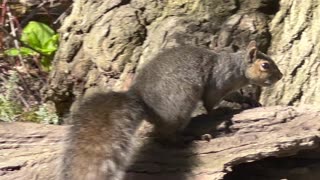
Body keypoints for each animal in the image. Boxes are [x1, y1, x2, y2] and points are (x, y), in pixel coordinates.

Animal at [59, 41, 282, 180]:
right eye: (265, 65)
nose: (280, 76)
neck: (237, 68)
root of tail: (141, 100)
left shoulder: (228, 87)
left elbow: (234, 96)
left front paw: (248, 100)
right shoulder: (218, 82)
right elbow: (210, 102)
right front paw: (221, 111)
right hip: (180, 102)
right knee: (164, 135)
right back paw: (188, 139)